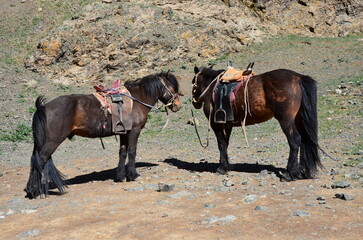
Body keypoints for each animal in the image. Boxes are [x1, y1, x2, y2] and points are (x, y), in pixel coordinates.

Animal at [24, 71, 181, 199]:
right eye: (172, 87)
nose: (177, 106)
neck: (136, 99)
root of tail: (43, 107)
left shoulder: (124, 132)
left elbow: (122, 152)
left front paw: (120, 176)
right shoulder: (134, 131)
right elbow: (132, 151)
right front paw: (133, 175)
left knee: (34, 159)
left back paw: (31, 189)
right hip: (52, 141)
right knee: (40, 159)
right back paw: (37, 190)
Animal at [192, 64, 322, 181]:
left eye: (193, 81)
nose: (195, 103)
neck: (212, 88)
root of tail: (298, 77)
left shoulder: (217, 124)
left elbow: (221, 144)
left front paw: (221, 168)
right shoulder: (227, 125)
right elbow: (225, 143)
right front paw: (226, 166)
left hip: (286, 120)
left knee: (295, 140)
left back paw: (289, 174)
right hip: (298, 119)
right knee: (305, 140)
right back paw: (302, 172)